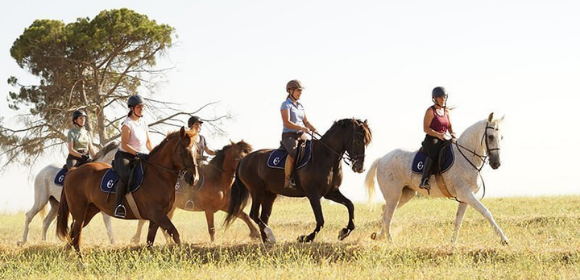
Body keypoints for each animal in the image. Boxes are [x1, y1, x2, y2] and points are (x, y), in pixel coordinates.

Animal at [56, 127, 198, 254]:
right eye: (184, 151)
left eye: (196, 151)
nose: (194, 178)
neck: (159, 174)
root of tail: (73, 171)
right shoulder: (157, 214)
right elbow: (175, 233)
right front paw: (183, 255)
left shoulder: (156, 218)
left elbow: (150, 241)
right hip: (79, 211)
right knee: (76, 234)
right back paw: (80, 260)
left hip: (90, 211)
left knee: (73, 233)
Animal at [131, 140, 260, 243]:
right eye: (239, 155)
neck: (216, 179)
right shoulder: (209, 209)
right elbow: (211, 228)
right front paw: (213, 243)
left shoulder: (225, 206)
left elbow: (244, 216)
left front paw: (256, 234)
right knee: (145, 221)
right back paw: (136, 239)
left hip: (170, 208)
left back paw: (168, 241)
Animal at [224, 118, 370, 243]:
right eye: (357, 142)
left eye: (366, 143)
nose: (360, 168)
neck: (325, 156)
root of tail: (245, 159)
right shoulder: (313, 194)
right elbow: (320, 220)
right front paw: (306, 237)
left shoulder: (331, 192)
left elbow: (350, 205)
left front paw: (344, 232)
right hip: (256, 190)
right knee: (254, 214)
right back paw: (271, 236)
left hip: (269, 194)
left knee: (263, 216)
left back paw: (266, 240)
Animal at [368, 112, 508, 244]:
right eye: (490, 136)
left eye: (501, 137)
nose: (497, 163)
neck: (466, 156)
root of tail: (382, 159)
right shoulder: (467, 194)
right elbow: (486, 212)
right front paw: (504, 239)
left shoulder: (465, 198)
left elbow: (458, 221)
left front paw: (452, 244)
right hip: (394, 195)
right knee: (388, 216)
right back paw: (391, 242)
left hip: (405, 194)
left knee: (384, 211)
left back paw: (380, 236)